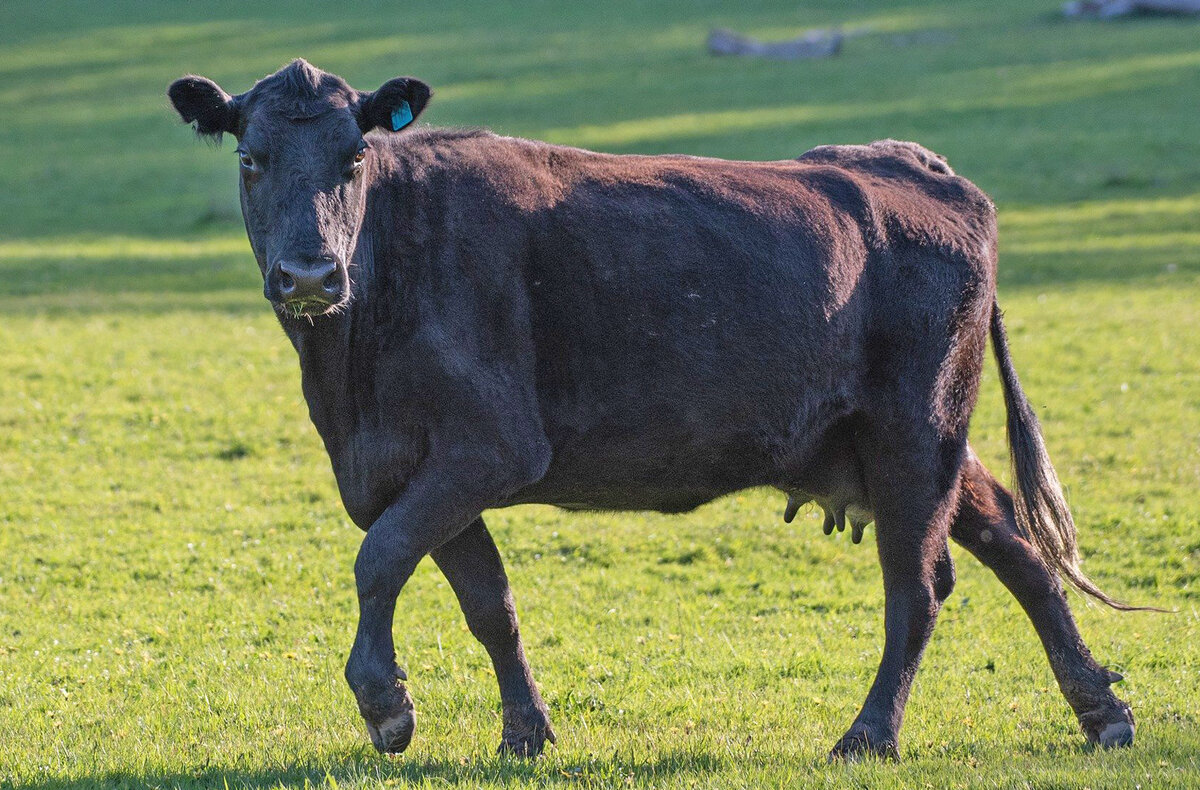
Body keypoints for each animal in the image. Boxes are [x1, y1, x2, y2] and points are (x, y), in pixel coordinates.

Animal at [167, 59, 1137, 760]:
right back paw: (1101, 711)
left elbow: (379, 560)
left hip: (916, 432)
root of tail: (916, 166)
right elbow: (487, 602)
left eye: (356, 159)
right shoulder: (409, 467)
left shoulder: (487, 449)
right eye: (250, 158)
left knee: (920, 585)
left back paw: (869, 737)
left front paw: (385, 706)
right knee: (1015, 542)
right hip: (903, 442)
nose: (309, 274)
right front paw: (525, 735)